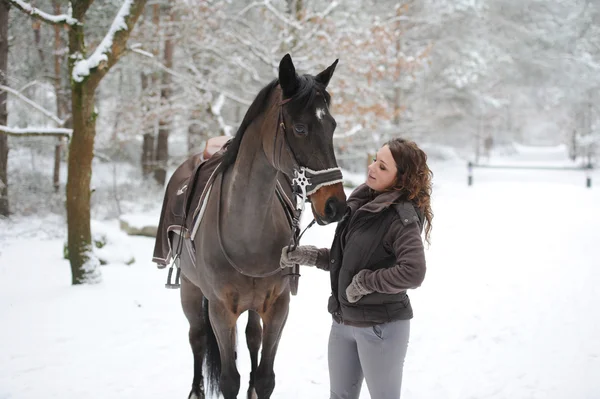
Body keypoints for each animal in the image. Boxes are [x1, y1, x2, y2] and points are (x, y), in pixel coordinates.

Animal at [176, 54, 346, 399]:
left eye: (332, 126)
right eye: (300, 128)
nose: (335, 205)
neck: (246, 232)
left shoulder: (278, 307)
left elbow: (266, 377)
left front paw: (257, 384)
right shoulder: (221, 311)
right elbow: (229, 379)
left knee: (252, 335)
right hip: (189, 289)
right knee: (196, 337)